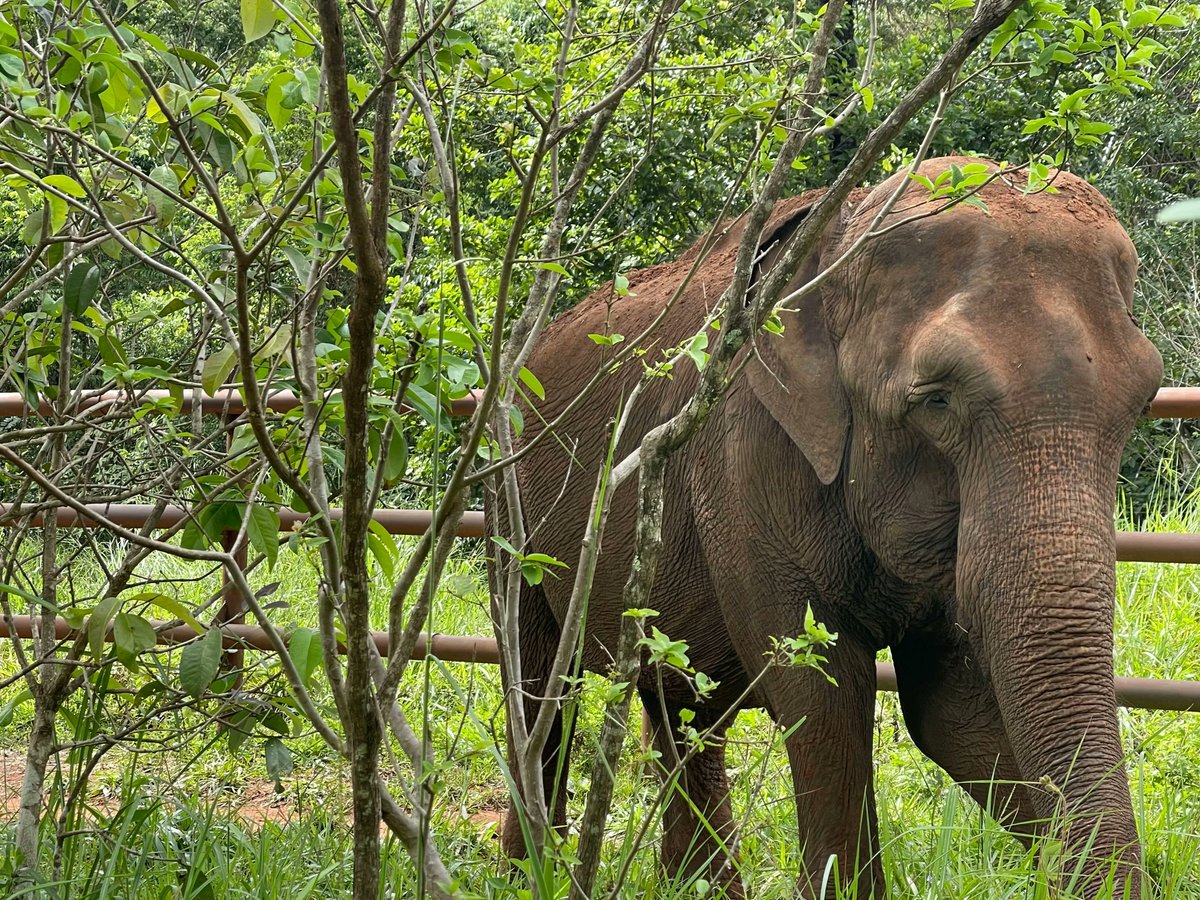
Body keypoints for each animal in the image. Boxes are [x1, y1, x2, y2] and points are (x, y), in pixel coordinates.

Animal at [488, 156, 1163, 897]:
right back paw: (525, 873)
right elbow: (823, 694)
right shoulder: (746, 460)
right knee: (539, 681)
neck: (844, 229)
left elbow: (948, 708)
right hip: (506, 502)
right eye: (936, 401)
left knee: (682, 706)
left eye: (1144, 401)